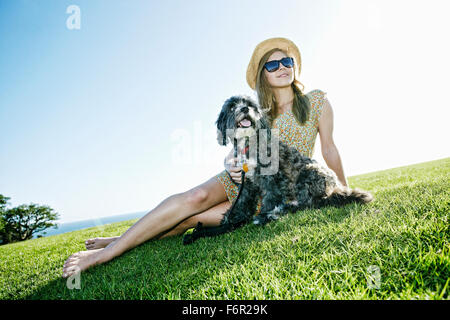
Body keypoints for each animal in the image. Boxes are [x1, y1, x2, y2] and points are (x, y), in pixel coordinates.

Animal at [183, 95, 372, 245]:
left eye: (250, 105)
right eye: (231, 107)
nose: (244, 109)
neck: (249, 142)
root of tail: (334, 188)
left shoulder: (271, 178)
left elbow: (270, 198)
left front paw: (264, 216)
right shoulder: (247, 183)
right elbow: (242, 201)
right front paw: (233, 219)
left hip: (308, 173)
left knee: (309, 203)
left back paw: (284, 210)